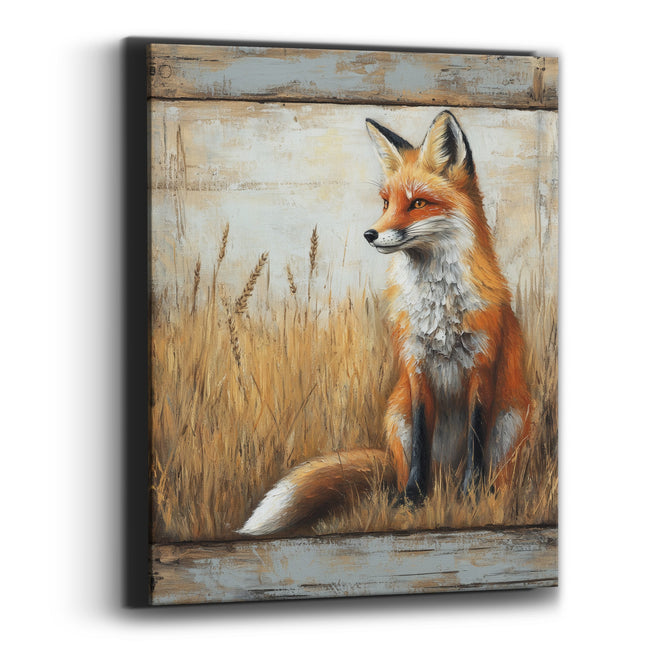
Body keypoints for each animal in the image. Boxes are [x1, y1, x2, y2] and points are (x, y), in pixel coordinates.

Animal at [239, 111, 531, 536]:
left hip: (512, 419)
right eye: (386, 202)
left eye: (418, 203)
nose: (370, 234)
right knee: (409, 466)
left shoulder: (483, 366)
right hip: (397, 415)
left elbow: (476, 444)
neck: (439, 308)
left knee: (493, 469)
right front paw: (413, 500)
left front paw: (471, 497)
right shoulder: (415, 368)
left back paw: (483, 495)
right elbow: (420, 448)